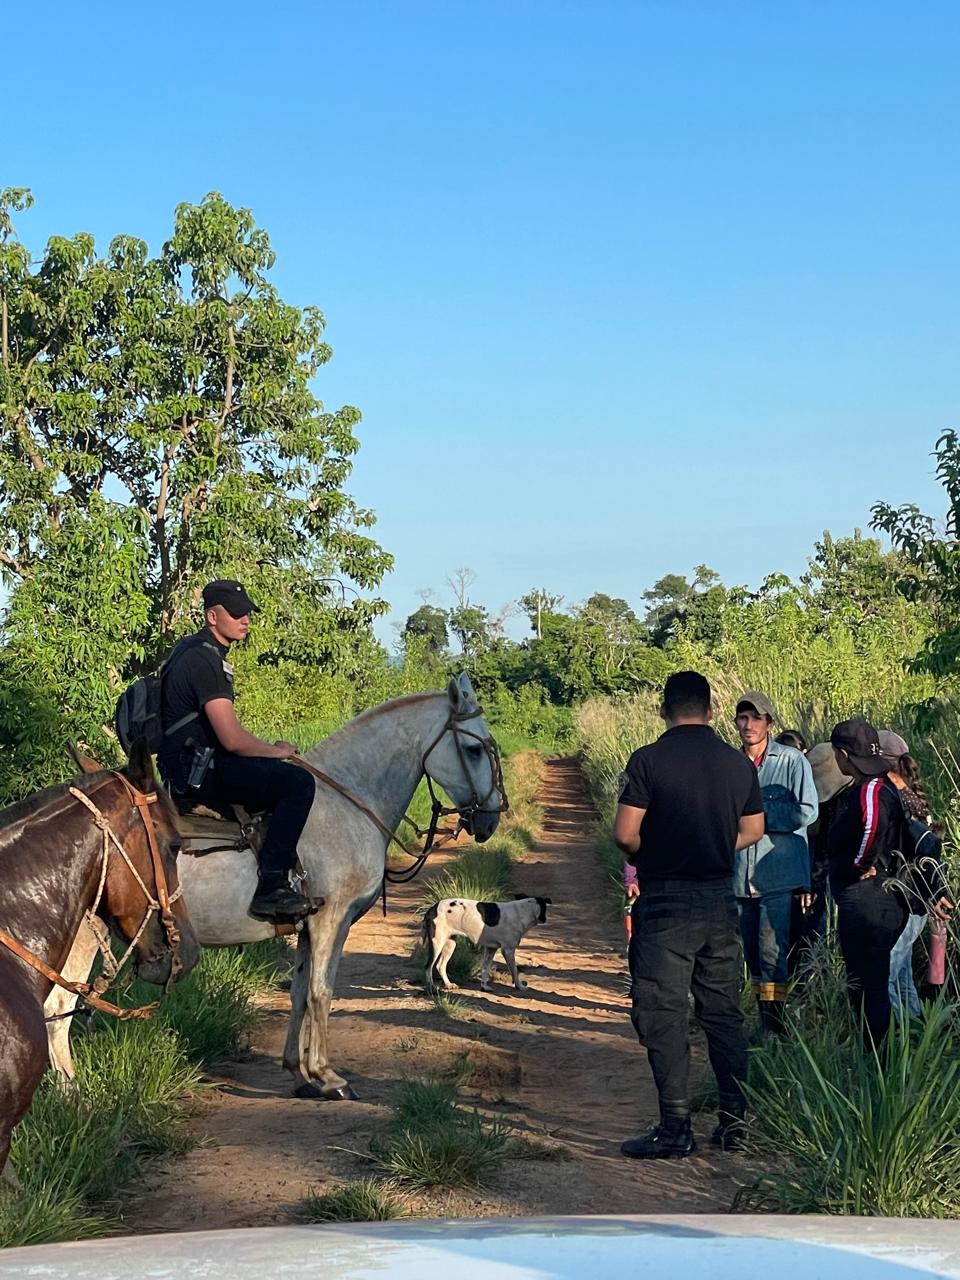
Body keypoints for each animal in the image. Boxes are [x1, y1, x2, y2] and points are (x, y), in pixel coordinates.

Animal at [46, 680, 506, 1100]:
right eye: (474, 750)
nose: (491, 818)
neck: (347, 804)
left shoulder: (307, 926)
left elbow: (300, 992)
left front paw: (300, 1075)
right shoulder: (331, 920)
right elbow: (322, 991)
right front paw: (328, 1077)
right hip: (80, 940)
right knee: (57, 1010)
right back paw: (73, 1101)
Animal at [422, 896, 552, 993]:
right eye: (545, 909)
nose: (545, 919)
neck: (523, 912)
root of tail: (432, 908)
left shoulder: (490, 949)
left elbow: (485, 970)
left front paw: (484, 987)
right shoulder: (508, 950)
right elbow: (515, 971)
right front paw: (520, 986)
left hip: (450, 944)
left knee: (440, 965)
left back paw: (449, 984)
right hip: (437, 943)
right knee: (428, 966)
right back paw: (431, 987)